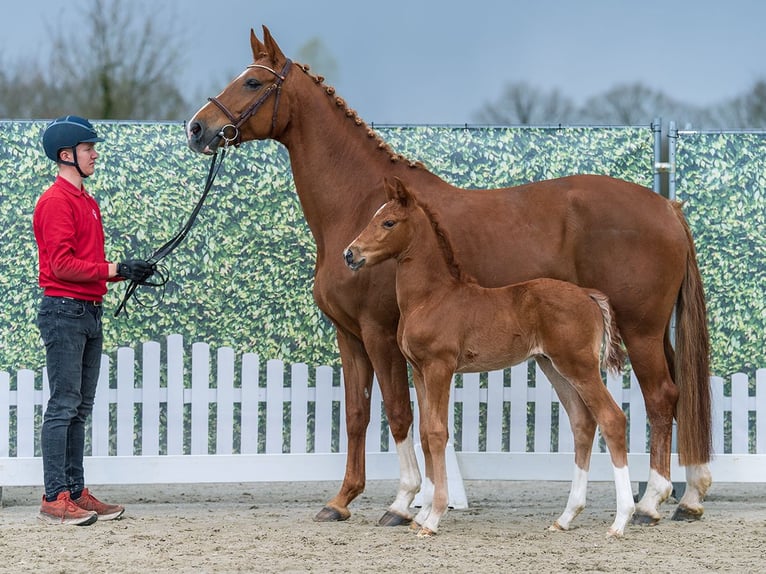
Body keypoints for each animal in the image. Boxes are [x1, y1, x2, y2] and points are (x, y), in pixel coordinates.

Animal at [343, 177, 635, 537]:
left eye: (388, 222)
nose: (350, 254)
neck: (431, 297)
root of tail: (588, 295)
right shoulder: (419, 371)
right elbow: (424, 434)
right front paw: (422, 516)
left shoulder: (440, 367)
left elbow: (437, 433)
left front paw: (433, 518)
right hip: (553, 367)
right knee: (583, 423)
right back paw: (566, 517)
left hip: (579, 366)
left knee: (612, 419)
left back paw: (621, 521)